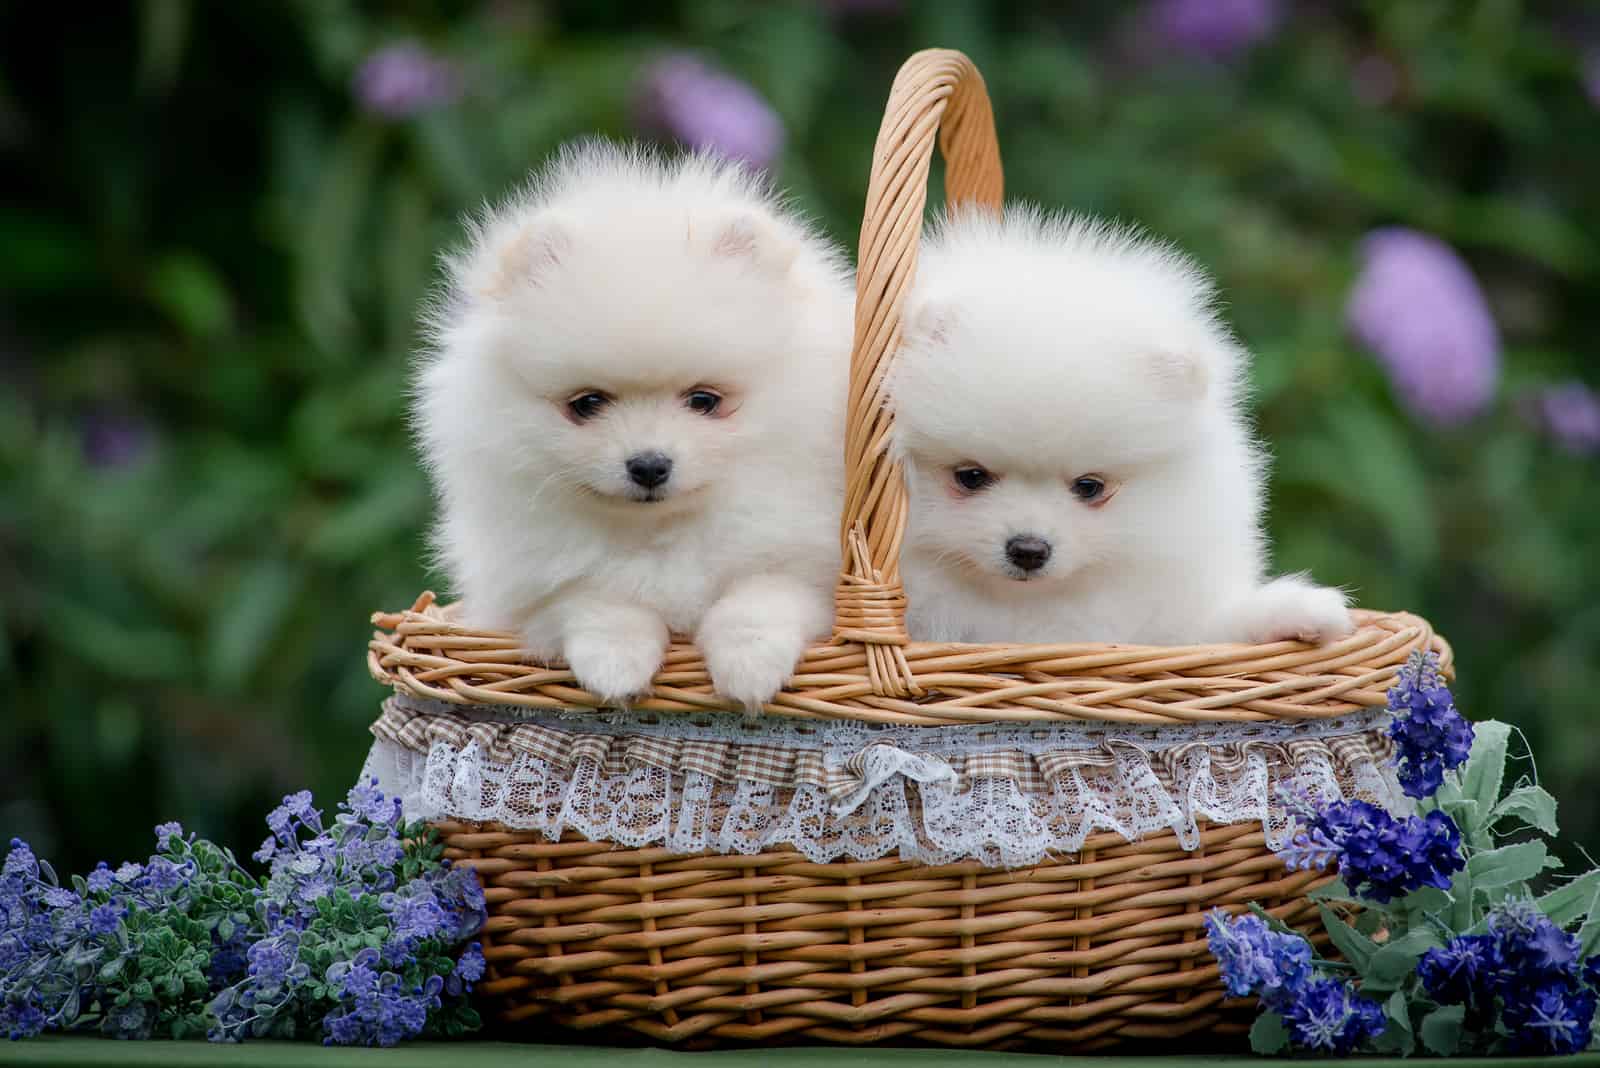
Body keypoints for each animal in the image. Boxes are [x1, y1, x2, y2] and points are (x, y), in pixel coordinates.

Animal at [419, 141, 857, 709]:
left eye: (704, 400)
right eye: (586, 403)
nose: (648, 465)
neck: (661, 534)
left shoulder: (810, 562)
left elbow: (764, 592)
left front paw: (750, 665)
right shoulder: (530, 585)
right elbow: (592, 597)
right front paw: (615, 663)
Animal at [896, 206, 1356, 645]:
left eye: (1089, 487)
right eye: (971, 476)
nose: (1028, 549)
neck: (1023, 606)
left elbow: (1203, 631)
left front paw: (1296, 613)